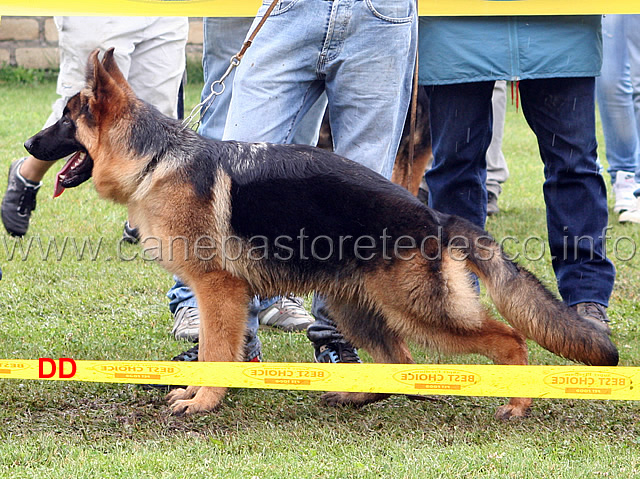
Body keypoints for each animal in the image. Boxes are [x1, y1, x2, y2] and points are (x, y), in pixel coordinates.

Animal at [25, 49, 620, 420]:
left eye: (65, 119)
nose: (29, 144)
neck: (155, 159)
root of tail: (433, 217)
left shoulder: (220, 291)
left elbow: (218, 349)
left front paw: (203, 401)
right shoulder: (219, 295)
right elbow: (218, 347)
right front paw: (197, 392)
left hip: (419, 309)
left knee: (509, 339)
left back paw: (517, 402)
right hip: (357, 307)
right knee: (401, 363)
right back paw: (358, 396)